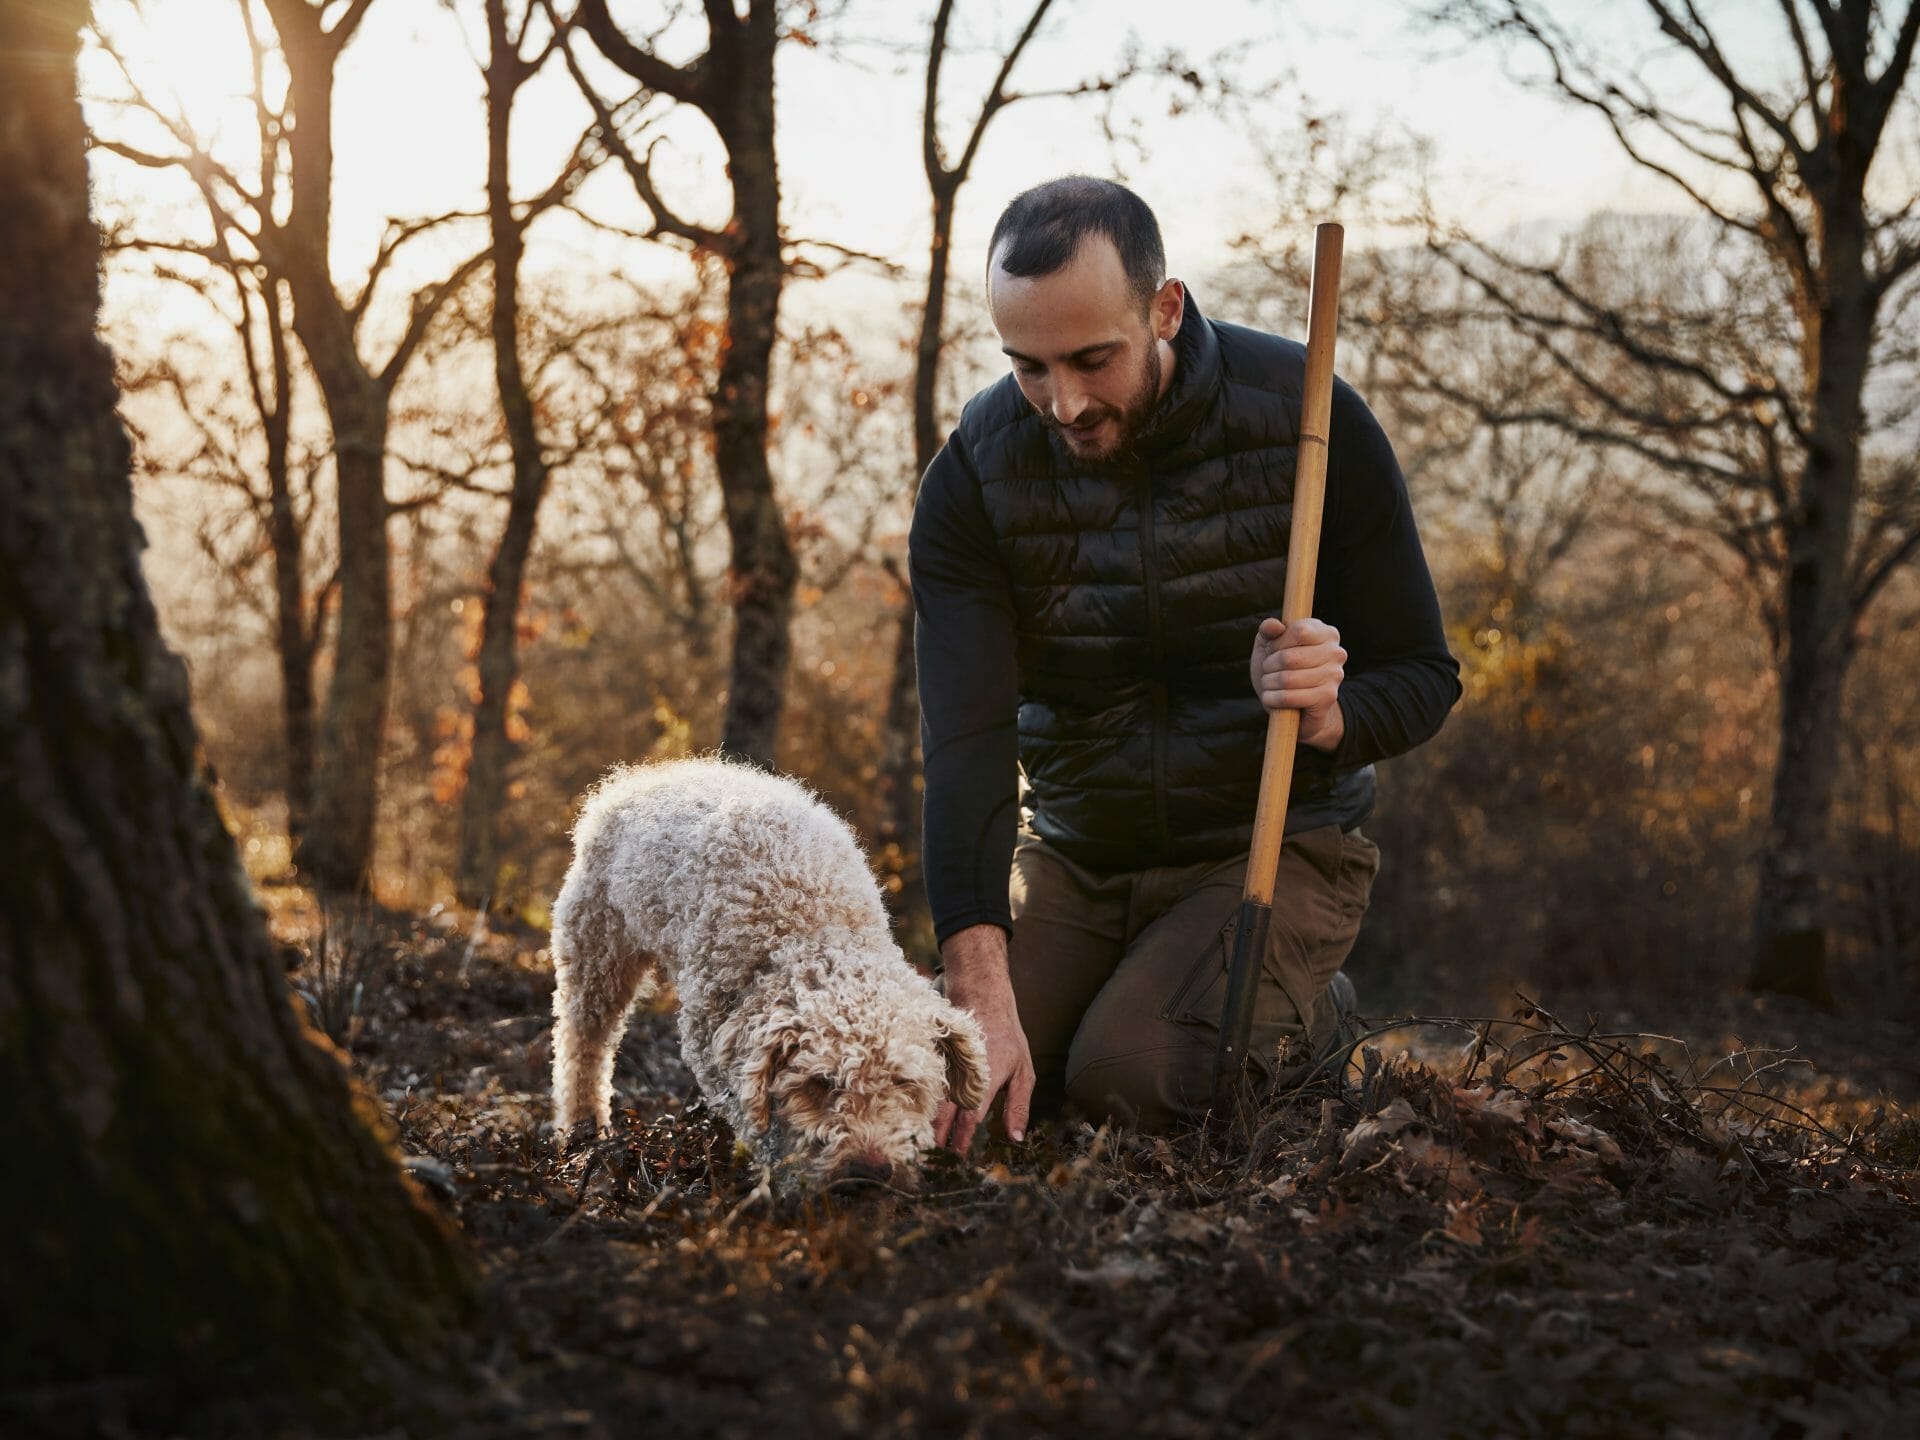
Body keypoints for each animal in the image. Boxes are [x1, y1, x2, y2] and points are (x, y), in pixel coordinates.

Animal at [545, 760, 983, 1190]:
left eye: (904, 1083)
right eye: (819, 1083)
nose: (870, 1172)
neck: (814, 924)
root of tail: (637, 777)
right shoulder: (712, 1035)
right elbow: (754, 1114)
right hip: (596, 951)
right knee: (582, 1047)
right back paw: (582, 1131)